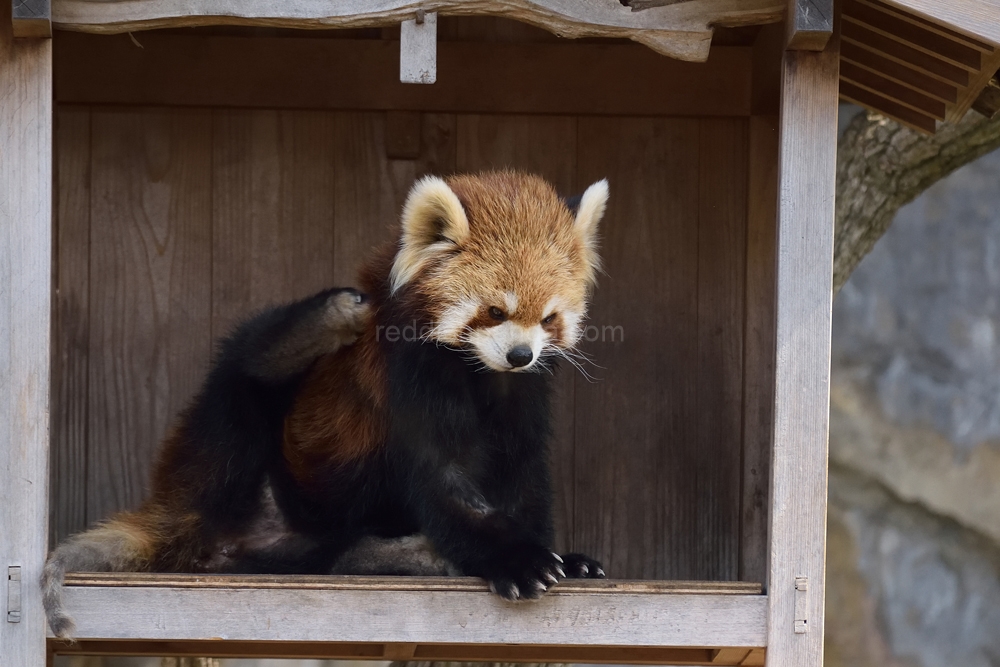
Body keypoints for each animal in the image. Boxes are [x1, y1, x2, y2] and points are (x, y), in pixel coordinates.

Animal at [41, 172, 608, 640]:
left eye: (549, 318)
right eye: (494, 311)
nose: (519, 354)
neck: (476, 373)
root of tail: (186, 504)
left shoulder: (522, 398)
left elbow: (522, 474)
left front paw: (562, 556)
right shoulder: (406, 375)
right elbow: (443, 476)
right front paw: (517, 560)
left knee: (331, 552)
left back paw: (405, 556)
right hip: (232, 438)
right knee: (247, 365)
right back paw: (328, 321)